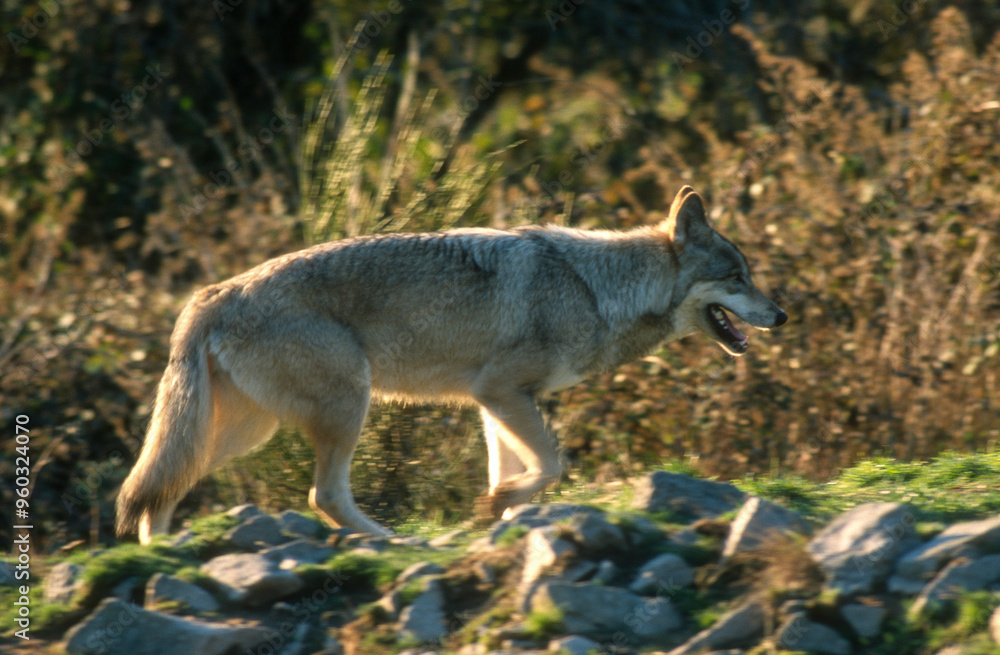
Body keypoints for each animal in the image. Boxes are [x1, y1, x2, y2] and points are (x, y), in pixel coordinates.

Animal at [116, 186, 787, 544]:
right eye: (738, 277)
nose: (781, 314)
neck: (596, 289)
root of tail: (213, 294)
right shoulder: (504, 394)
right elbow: (550, 465)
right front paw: (500, 505)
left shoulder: (493, 404)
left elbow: (519, 474)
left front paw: (502, 517)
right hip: (345, 407)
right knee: (321, 496)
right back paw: (389, 540)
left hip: (243, 433)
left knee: (163, 488)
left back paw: (153, 555)